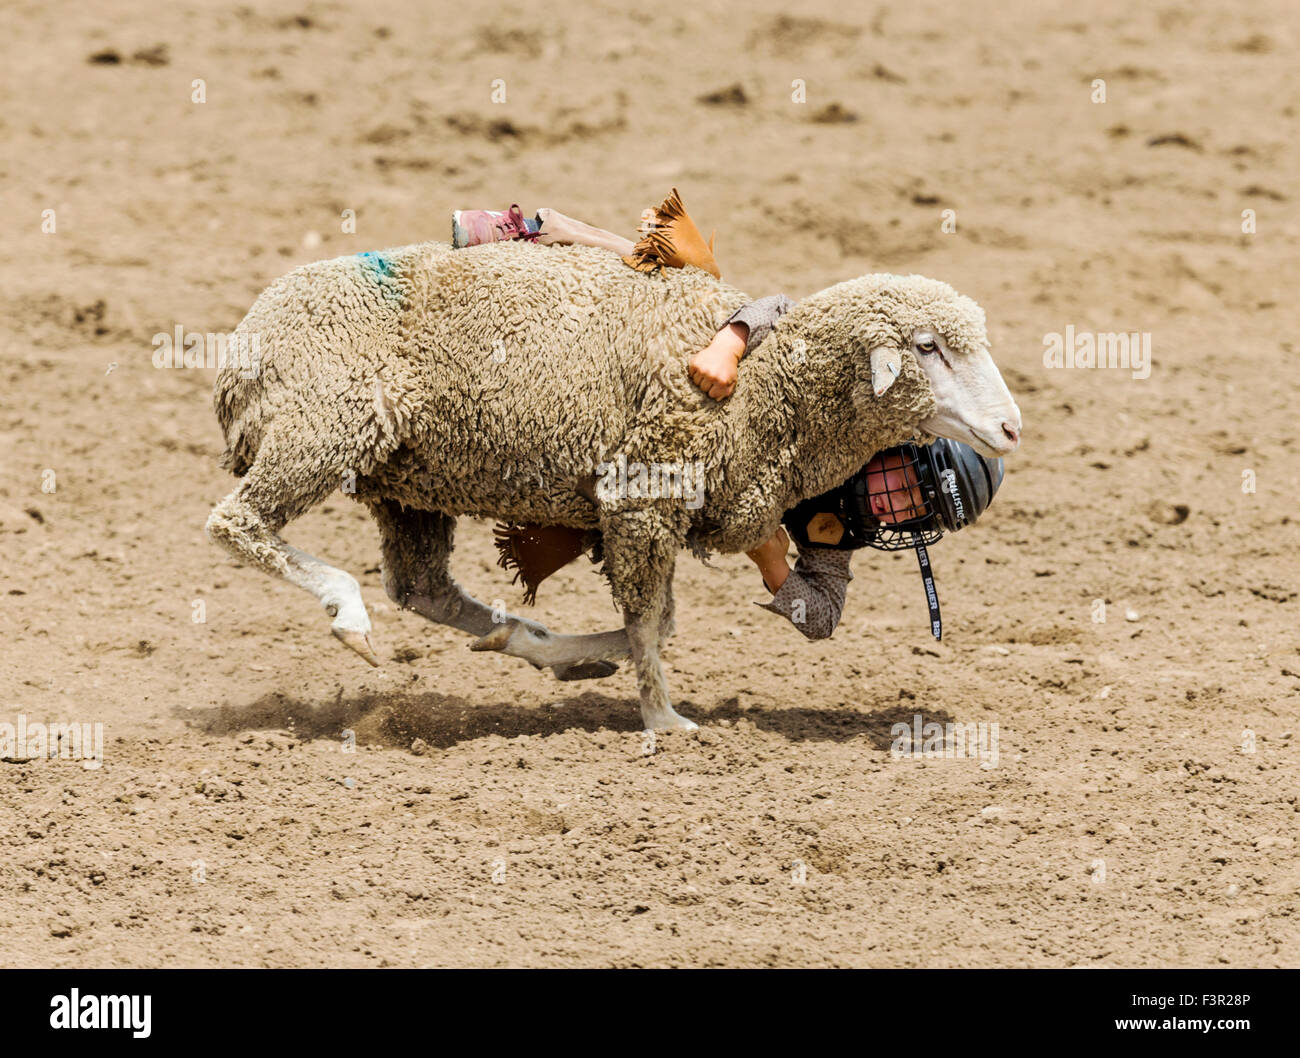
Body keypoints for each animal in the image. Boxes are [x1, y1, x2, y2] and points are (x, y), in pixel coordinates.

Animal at [202, 243, 1019, 733]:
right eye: (927, 347)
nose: (1011, 428)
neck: (766, 388)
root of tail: (241, 350)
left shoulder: (649, 511)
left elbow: (660, 621)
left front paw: (604, 664)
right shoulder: (642, 497)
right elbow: (651, 624)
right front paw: (664, 721)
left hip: (406, 482)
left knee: (422, 587)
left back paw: (530, 642)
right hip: (321, 429)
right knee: (236, 525)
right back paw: (348, 611)